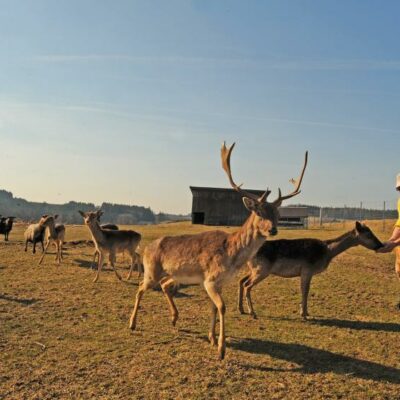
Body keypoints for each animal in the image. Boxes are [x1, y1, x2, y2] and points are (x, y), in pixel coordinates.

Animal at [130, 141, 308, 360]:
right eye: (258, 211)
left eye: (277, 213)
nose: (273, 229)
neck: (231, 256)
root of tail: (146, 247)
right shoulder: (211, 280)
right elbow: (222, 307)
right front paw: (221, 349)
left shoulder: (218, 282)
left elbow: (213, 308)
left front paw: (212, 339)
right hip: (151, 271)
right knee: (140, 288)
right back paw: (132, 324)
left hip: (174, 274)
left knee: (164, 286)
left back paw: (174, 318)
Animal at [239, 220, 382, 320]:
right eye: (369, 235)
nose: (380, 245)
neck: (328, 252)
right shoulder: (307, 269)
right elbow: (305, 290)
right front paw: (304, 314)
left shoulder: (307, 272)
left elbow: (305, 290)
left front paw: (305, 312)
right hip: (262, 269)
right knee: (247, 285)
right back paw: (253, 313)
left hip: (254, 269)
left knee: (241, 280)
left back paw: (241, 309)